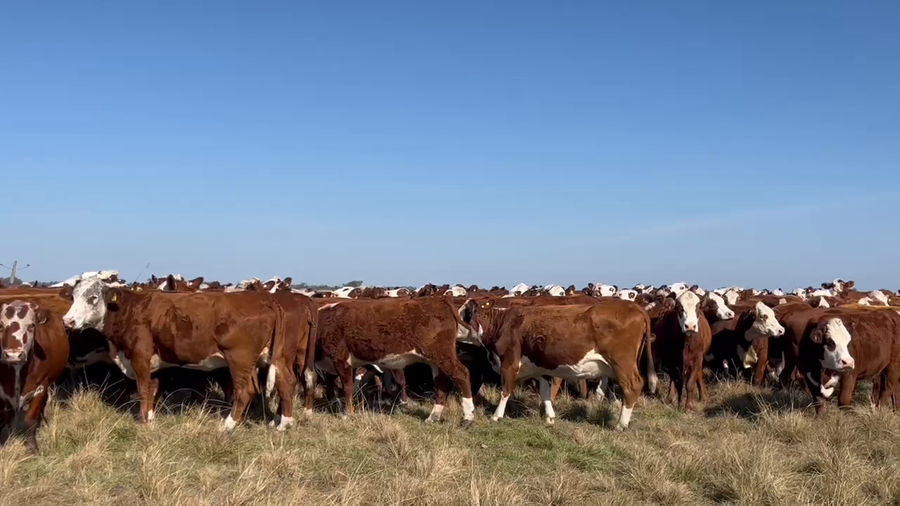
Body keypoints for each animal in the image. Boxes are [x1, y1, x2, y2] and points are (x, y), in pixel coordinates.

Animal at [0, 301, 69, 454]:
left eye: (31, 326)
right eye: (1, 325)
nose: (13, 355)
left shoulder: (40, 387)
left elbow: (30, 419)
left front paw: (33, 448)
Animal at [60, 278, 299, 430]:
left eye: (92, 298)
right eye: (73, 296)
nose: (67, 321)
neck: (128, 310)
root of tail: (263, 299)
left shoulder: (139, 356)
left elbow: (142, 388)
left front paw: (143, 422)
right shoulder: (152, 362)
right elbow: (152, 388)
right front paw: (150, 417)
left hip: (240, 359)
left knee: (245, 390)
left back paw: (229, 424)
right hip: (278, 357)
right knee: (286, 382)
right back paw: (283, 423)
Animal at [315, 297, 480, 426]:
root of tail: (439, 300)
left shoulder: (341, 359)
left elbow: (346, 387)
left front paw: (347, 414)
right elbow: (332, 386)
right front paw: (335, 405)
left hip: (442, 354)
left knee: (461, 374)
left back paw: (467, 417)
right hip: (435, 360)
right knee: (442, 383)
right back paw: (433, 416)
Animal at [459, 297, 653, 429]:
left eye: (462, 314)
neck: (503, 323)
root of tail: (634, 306)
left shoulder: (509, 363)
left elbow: (505, 391)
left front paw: (496, 416)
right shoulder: (540, 368)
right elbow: (545, 393)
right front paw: (550, 417)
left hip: (622, 364)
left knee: (633, 386)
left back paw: (621, 424)